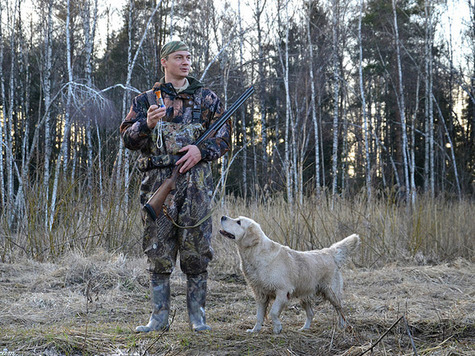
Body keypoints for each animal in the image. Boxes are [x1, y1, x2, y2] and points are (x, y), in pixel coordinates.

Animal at [220, 216, 360, 336]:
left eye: (239, 222)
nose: (222, 217)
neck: (255, 254)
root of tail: (330, 252)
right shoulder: (260, 294)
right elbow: (259, 315)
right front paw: (255, 330)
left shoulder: (282, 292)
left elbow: (273, 312)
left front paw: (277, 328)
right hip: (304, 295)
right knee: (311, 313)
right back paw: (304, 328)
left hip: (331, 292)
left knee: (340, 310)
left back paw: (342, 326)